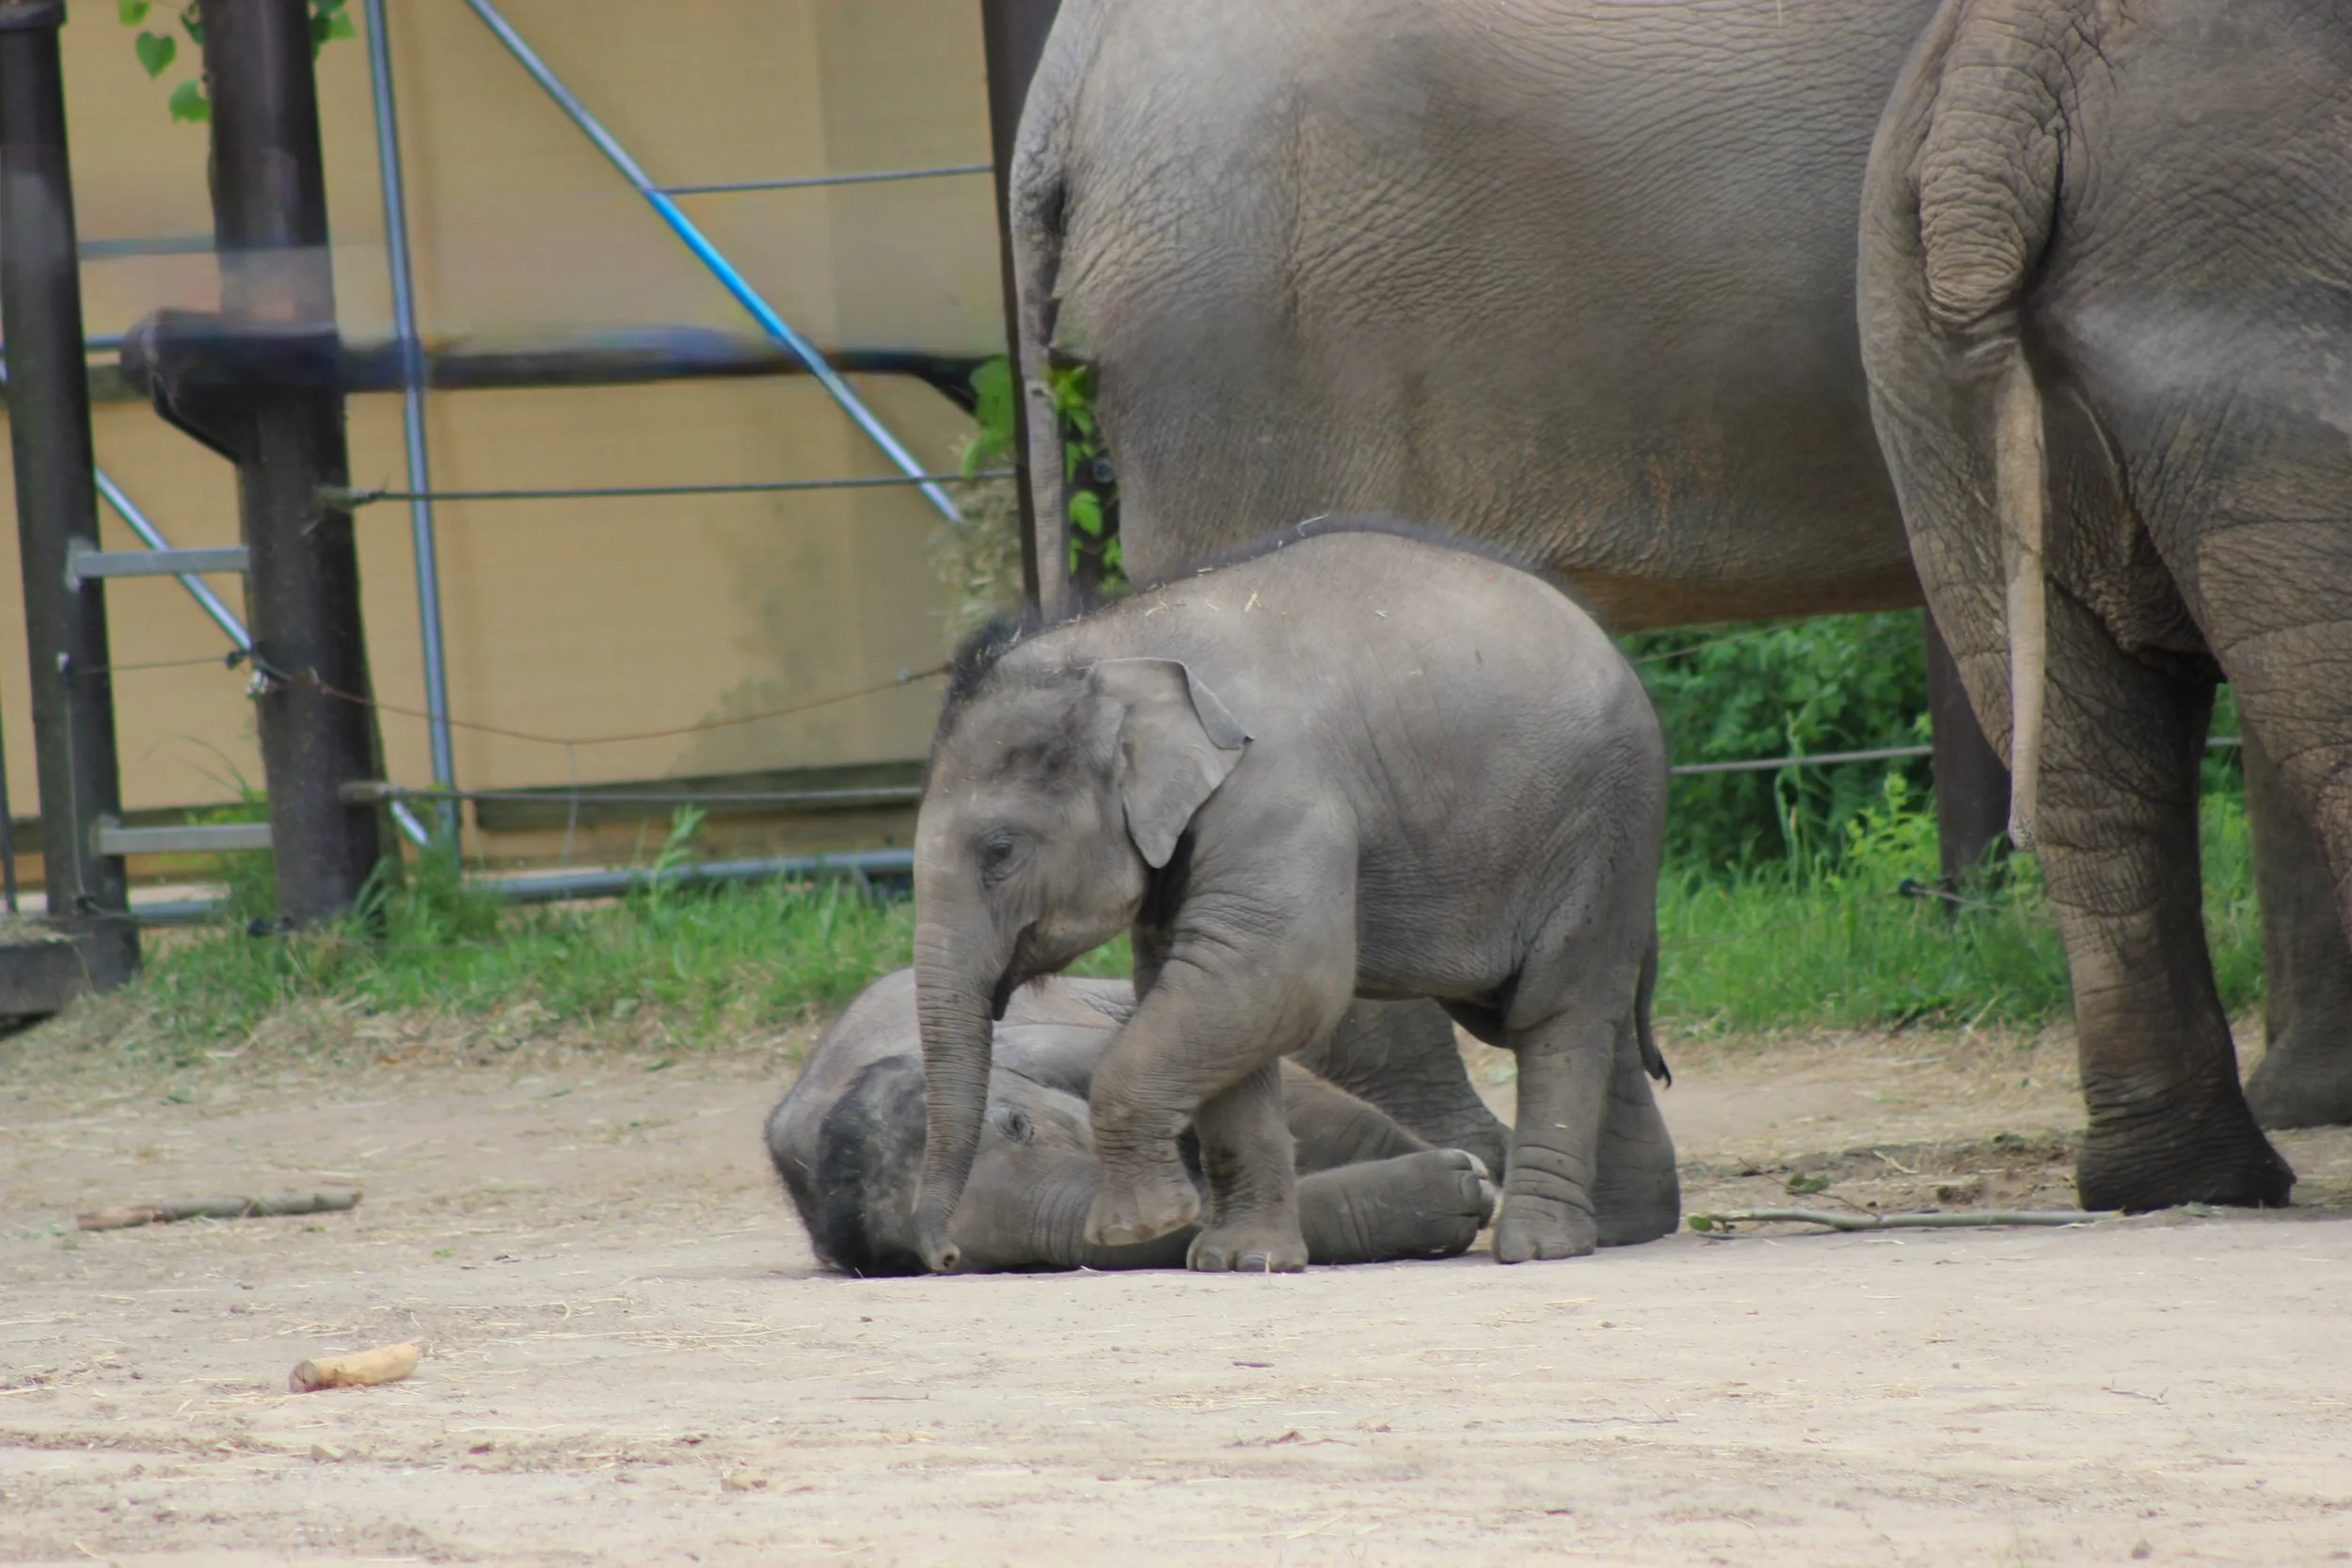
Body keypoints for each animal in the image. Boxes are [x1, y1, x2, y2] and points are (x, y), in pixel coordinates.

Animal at [910, 524, 1680, 1272]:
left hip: (1598, 825)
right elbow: (1207, 994)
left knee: (1557, 1013)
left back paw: (1540, 1247)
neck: (1116, 643)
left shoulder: (1275, 794)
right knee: (1580, 1015)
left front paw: (1141, 1228)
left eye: (999, 850)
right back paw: (1624, 1228)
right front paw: (1242, 1259)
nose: (944, 1255)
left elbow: (1278, 976)